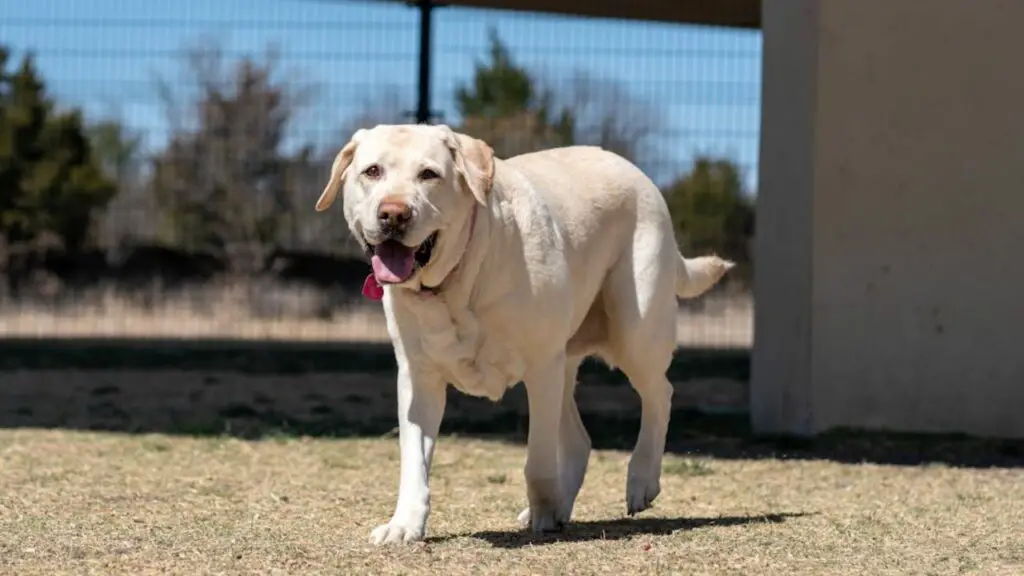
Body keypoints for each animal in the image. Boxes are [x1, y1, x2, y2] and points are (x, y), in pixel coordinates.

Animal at [315, 123, 733, 541]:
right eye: (372, 171)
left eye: (429, 174)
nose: (393, 214)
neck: (458, 281)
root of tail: (639, 174)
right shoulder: (419, 378)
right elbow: (414, 461)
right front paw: (404, 525)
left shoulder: (541, 367)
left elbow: (539, 459)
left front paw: (544, 514)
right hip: (569, 360)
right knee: (580, 440)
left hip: (635, 331)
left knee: (659, 393)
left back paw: (641, 480)